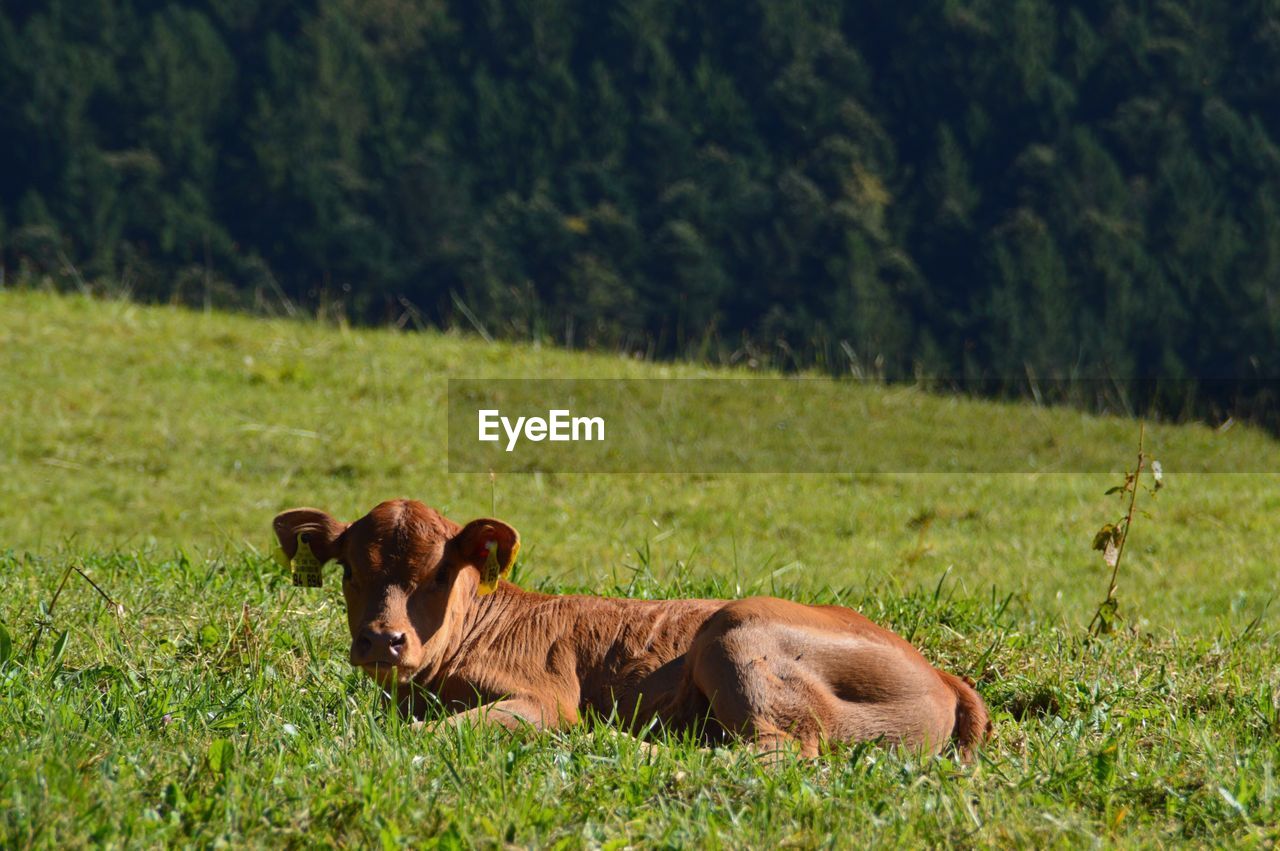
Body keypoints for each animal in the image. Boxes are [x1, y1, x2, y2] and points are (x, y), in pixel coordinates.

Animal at [270, 499, 988, 757]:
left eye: (440, 572)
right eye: (349, 570)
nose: (384, 639)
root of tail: (940, 673)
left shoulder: (544, 698)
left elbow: (450, 730)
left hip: (737, 631)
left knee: (778, 751)